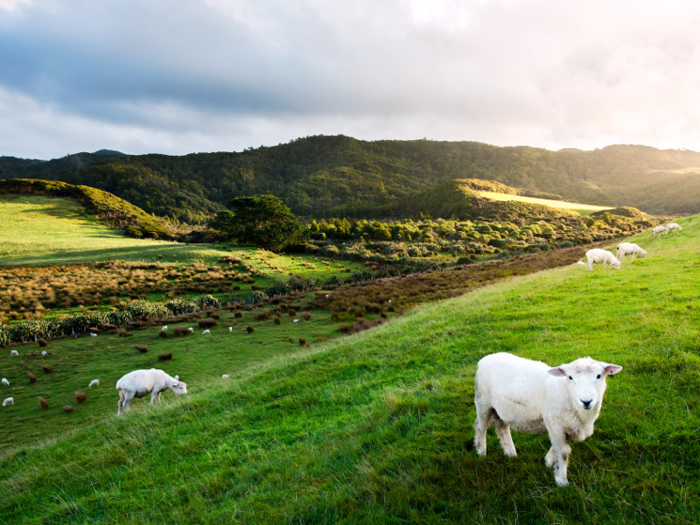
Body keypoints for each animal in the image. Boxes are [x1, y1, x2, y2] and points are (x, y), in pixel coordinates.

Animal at [476, 352, 624, 488]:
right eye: (570, 377)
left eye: (599, 376)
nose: (586, 401)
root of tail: (488, 357)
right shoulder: (554, 423)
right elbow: (563, 451)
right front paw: (561, 481)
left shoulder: (566, 427)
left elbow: (559, 448)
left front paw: (548, 462)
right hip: (483, 402)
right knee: (480, 427)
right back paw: (481, 452)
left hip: (502, 409)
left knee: (502, 428)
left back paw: (511, 454)